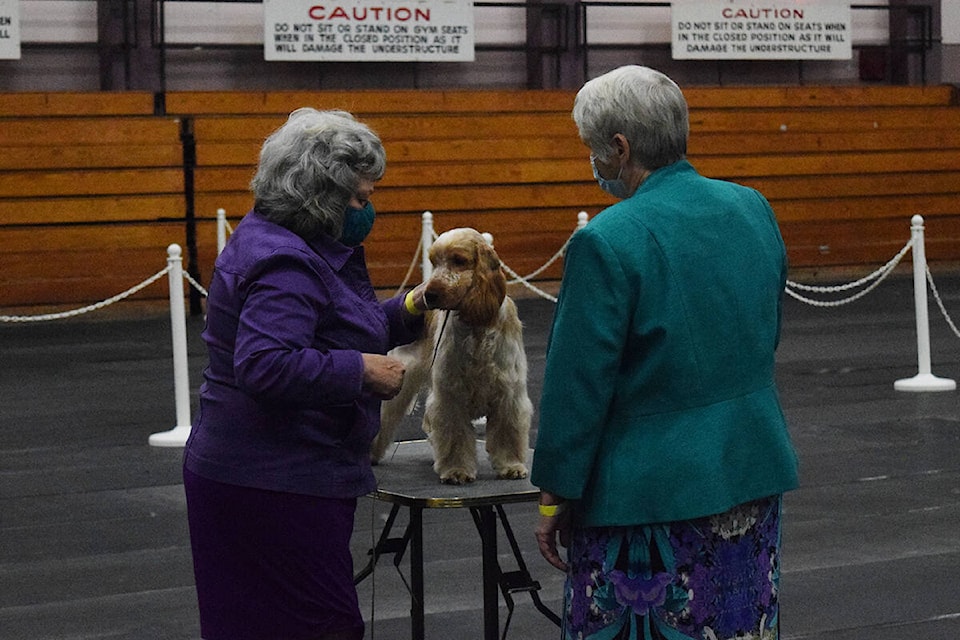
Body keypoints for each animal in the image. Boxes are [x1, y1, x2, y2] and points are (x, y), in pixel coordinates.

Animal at [372, 228, 532, 482]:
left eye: (458, 260)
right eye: (433, 262)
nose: (429, 295)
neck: (476, 324)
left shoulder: (509, 393)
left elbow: (508, 433)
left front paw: (511, 466)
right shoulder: (451, 394)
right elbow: (455, 436)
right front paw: (457, 471)